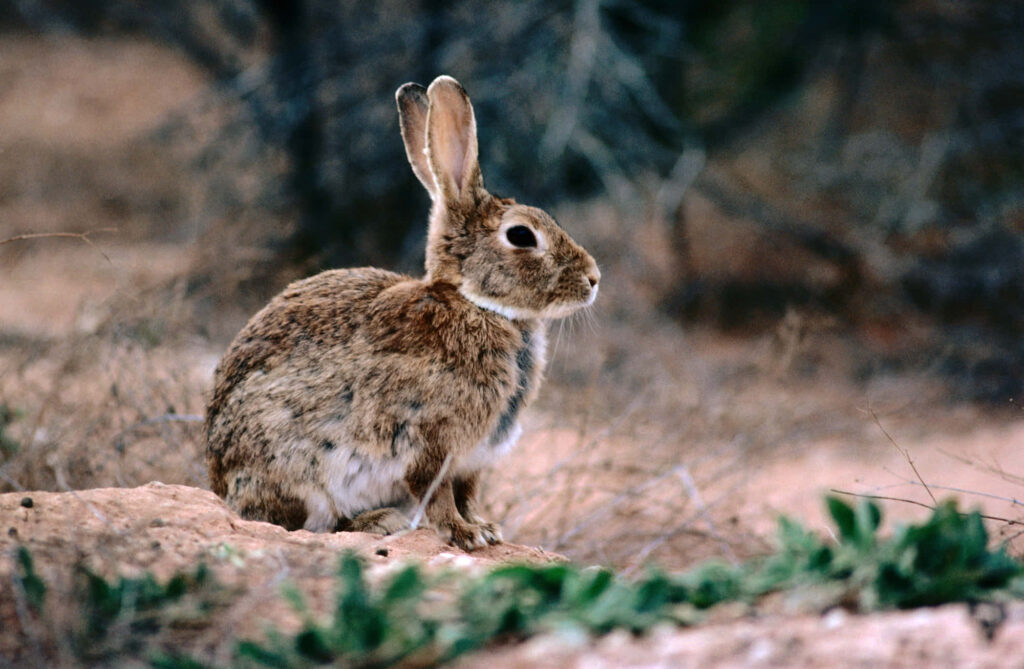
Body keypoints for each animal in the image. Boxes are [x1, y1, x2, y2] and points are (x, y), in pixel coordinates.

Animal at [205, 75, 600, 551]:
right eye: (521, 235)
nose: (594, 278)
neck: (476, 304)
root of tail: (221, 486)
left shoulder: (472, 460)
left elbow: (467, 494)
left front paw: (486, 529)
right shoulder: (428, 442)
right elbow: (437, 494)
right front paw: (465, 535)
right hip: (299, 471)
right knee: (309, 522)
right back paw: (379, 521)